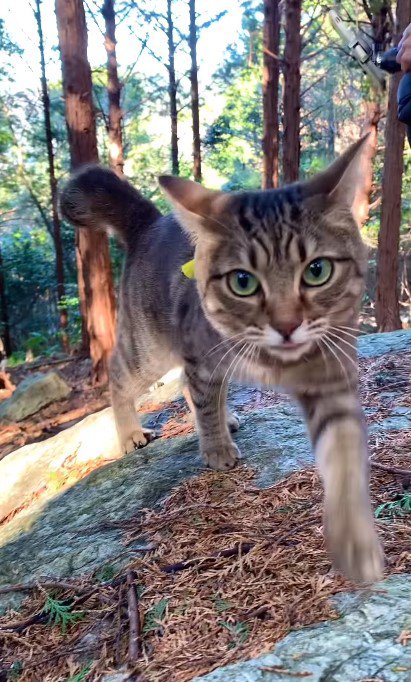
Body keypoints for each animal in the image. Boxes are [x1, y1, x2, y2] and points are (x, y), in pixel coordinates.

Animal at [60, 137, 384, 580]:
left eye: (316, 271)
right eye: (242, 282)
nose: (286, 325)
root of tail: (150, 222)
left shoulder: (330, 372)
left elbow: (346, 452)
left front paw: (355, 536)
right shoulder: (200, 353)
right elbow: (203, 401)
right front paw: (215, 448)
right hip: (149, 347)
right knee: (120, 376)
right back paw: (130, 432)